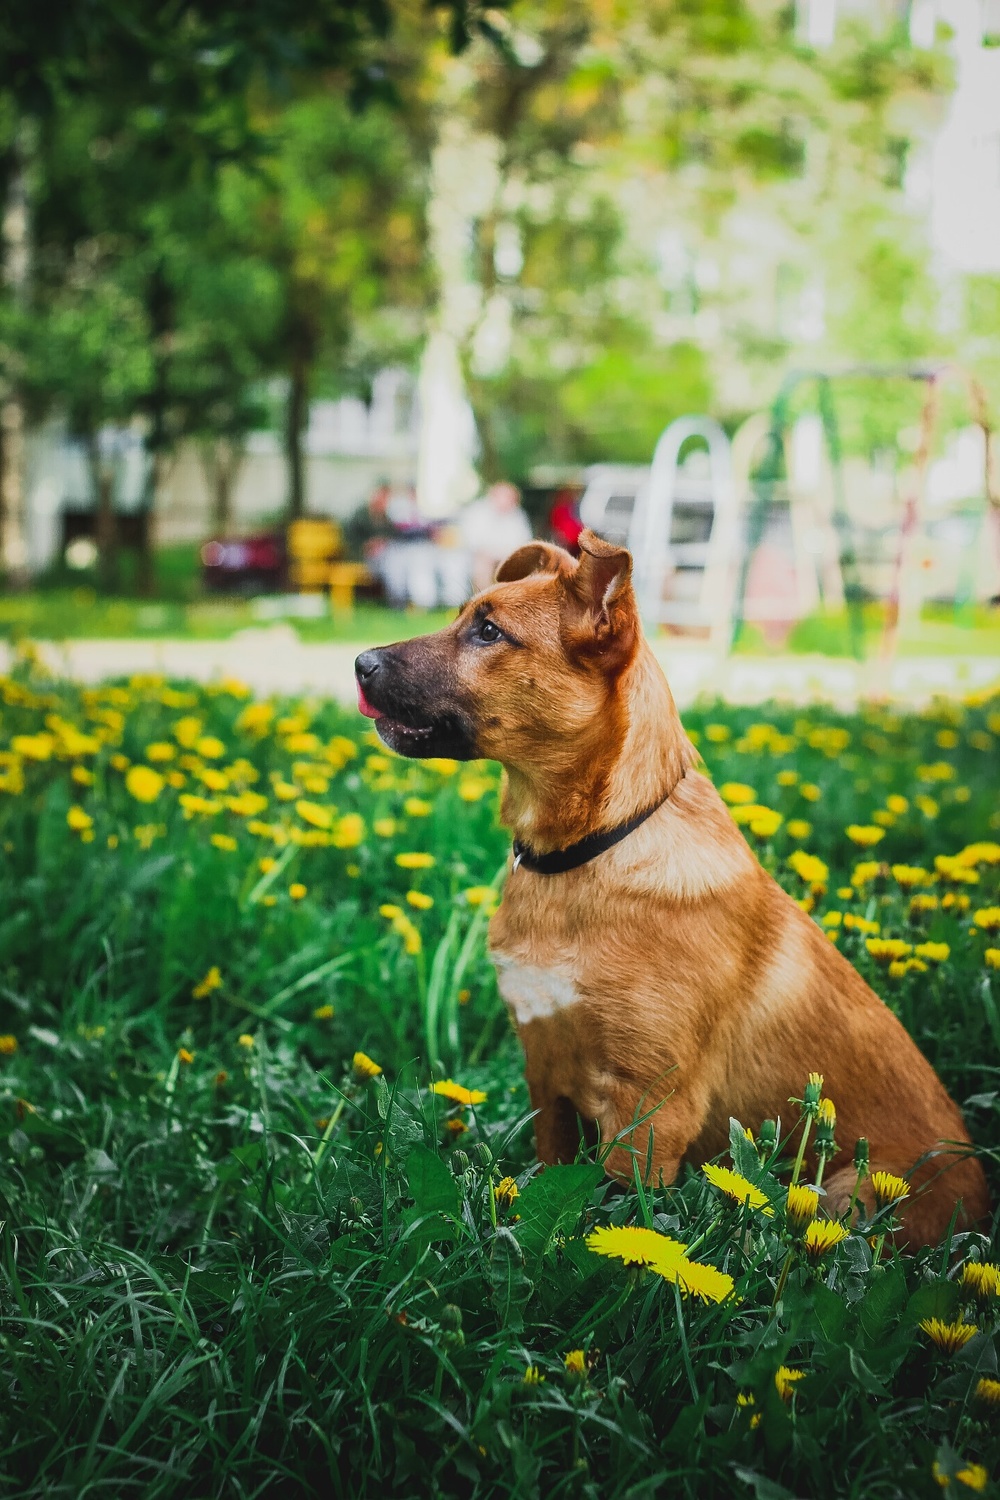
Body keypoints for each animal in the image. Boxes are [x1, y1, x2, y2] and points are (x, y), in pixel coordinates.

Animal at [355, 528, 989, 1242]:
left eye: (489, 631)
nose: (358, 663)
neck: (588, 852)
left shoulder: (652, 1109)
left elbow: (616, 1223)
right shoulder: (548, 1080)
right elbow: (556, 1182)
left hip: (847, 1192)